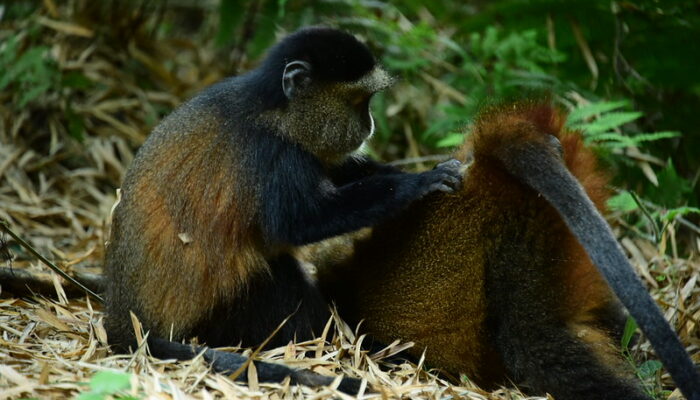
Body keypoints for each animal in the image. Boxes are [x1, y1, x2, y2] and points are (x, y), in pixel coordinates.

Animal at [102, 26, 462, 393]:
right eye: (358, 102)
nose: (369, 125)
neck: (276, 110)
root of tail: (127, 316)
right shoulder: (275, 153)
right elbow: (301, 222)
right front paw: (417, 183)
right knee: (278, 275)